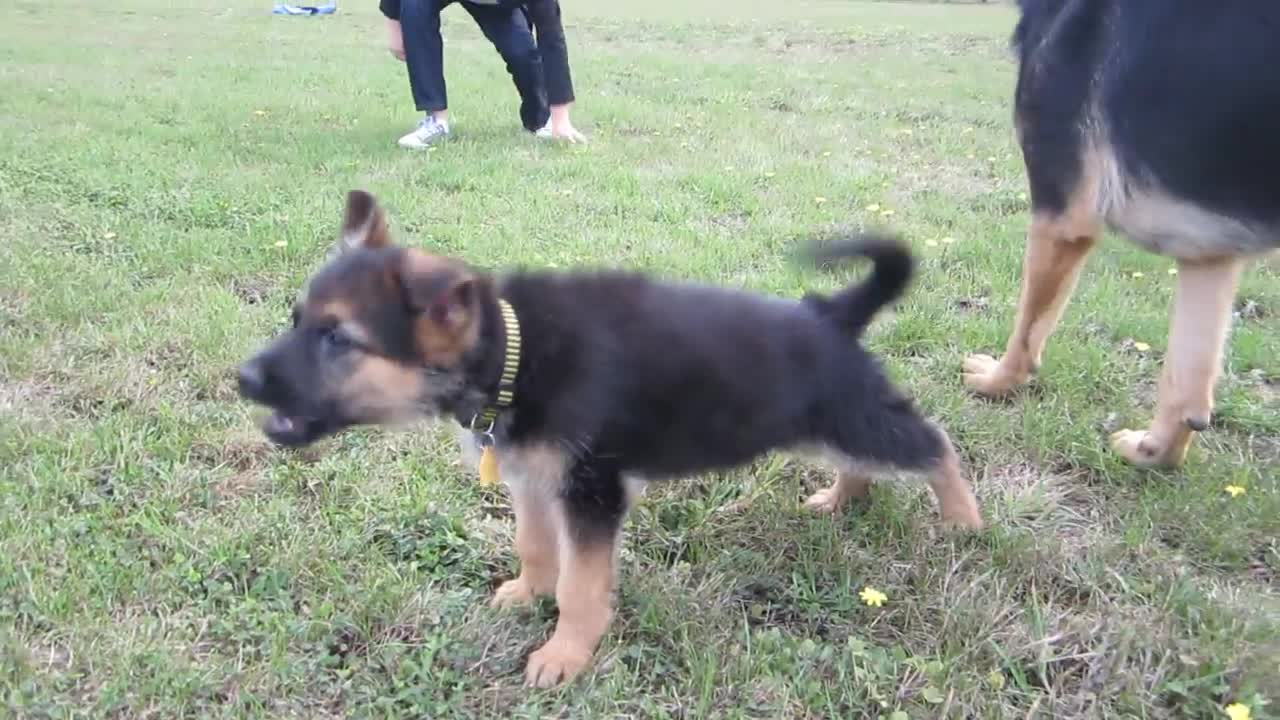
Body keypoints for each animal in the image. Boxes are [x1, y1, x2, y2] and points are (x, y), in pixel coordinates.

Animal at [238, 189, 977, 681]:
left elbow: (581, 585)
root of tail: (830, 314)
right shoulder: (534, 478)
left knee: (933, 441)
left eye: (338, 338)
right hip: (825, 426)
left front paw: (564, 654)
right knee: (872, 459)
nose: (241, 378)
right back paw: (841, 499)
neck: (512, 356)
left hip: (851, 418)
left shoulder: (592, 491)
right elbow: (536, 547)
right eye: (298, 320)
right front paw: (526, 593)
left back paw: (965, 522)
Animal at [962, 0, 1274, 466]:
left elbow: (1028, 327)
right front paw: (1154, 453)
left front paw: (997, 382)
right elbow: (1188, 382)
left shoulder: (1061, 215)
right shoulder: (1209, 255)